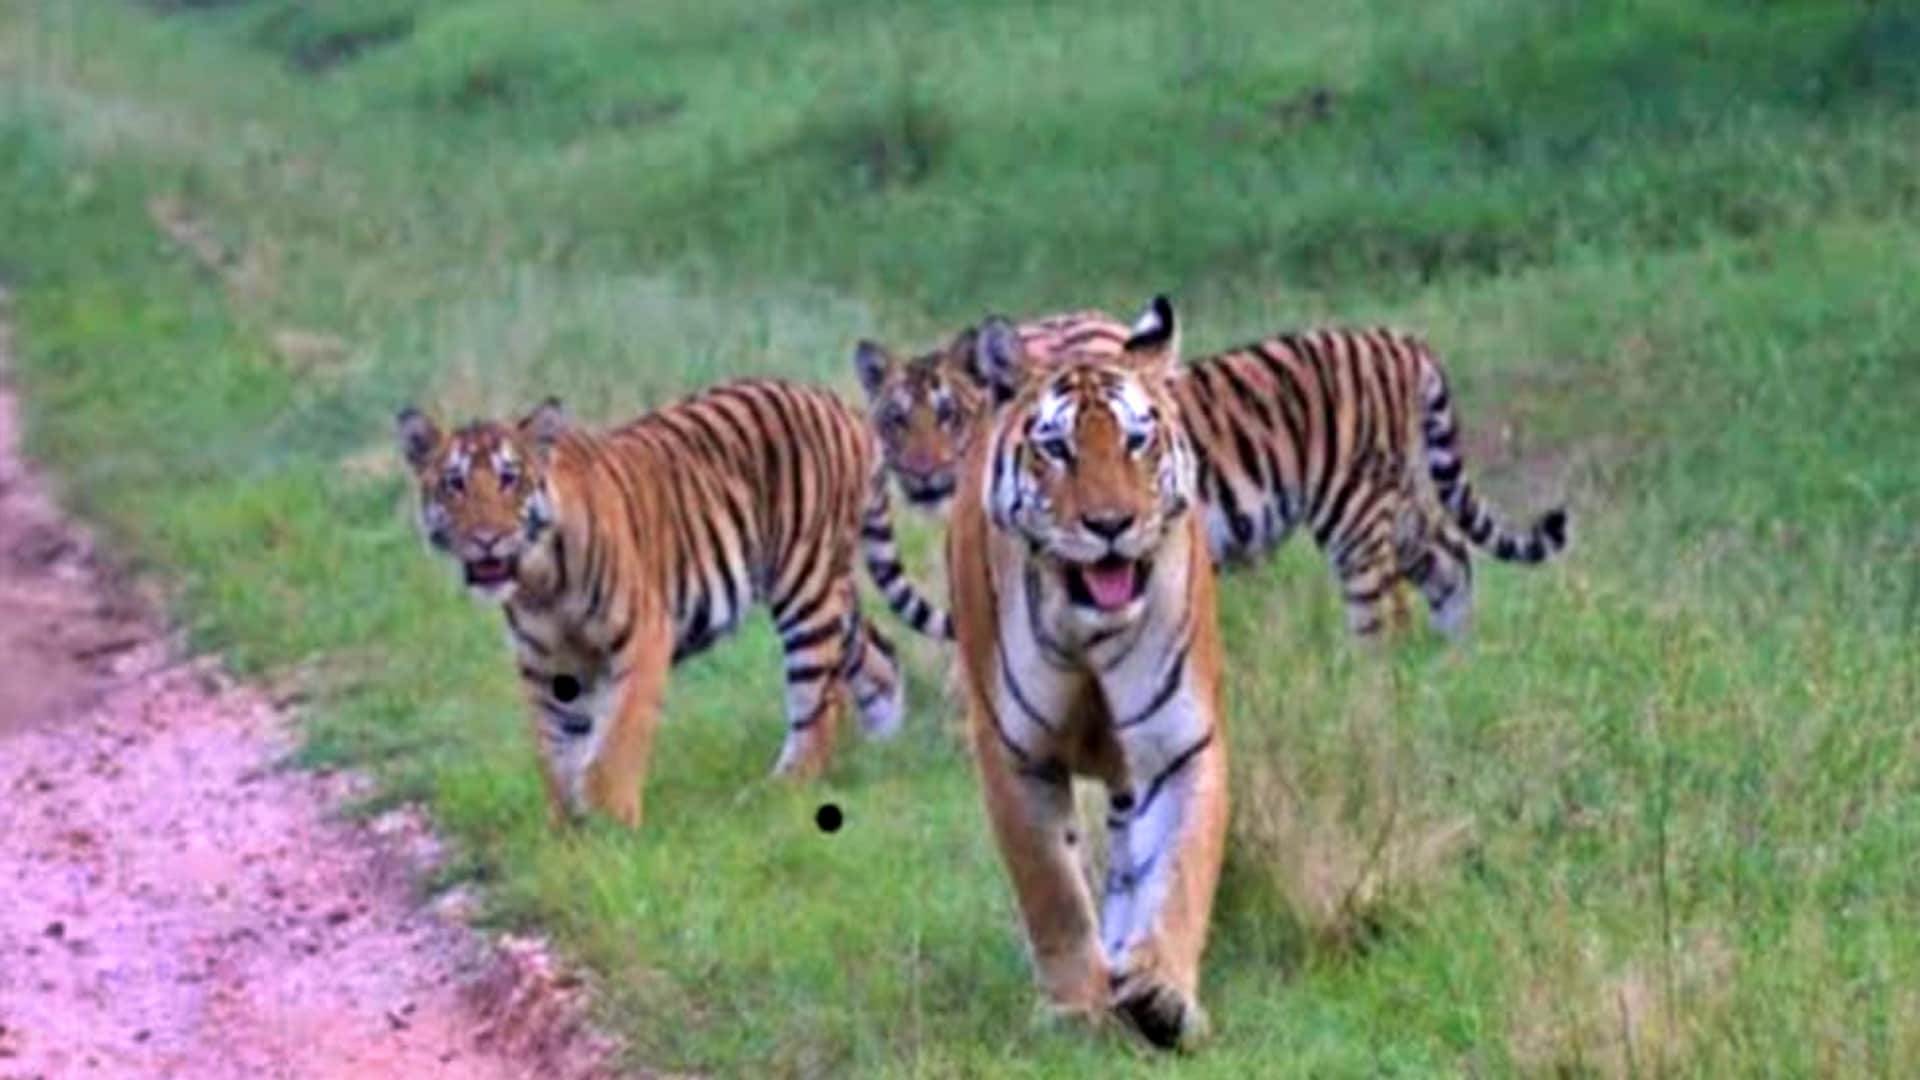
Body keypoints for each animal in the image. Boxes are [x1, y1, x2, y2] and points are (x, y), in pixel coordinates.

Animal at [393, 379, 951, 829]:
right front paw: (566, 833)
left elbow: (614, 746)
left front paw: (614, 827)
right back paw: (881, 744)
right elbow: (556, 754)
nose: (486, 539)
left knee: (817, 704)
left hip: (806, 588)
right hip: (831, 592)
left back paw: (778, 790)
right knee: (878, 652)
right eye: (455, 484)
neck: (539, 581)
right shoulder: (547, 665)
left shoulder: (642, 638)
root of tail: (842, 407)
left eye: (509, 479)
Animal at [857, 309, 1569, 638]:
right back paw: (1455, 661)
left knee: (1383, 610)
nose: (921, 473)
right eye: (896, 421)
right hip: (1396, 501)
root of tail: (1401, 340)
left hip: (1356, 511)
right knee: (1450, 557)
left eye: (947, 416)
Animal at [947, 295, 1227, 1051]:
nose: (1110, 524)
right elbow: (1052, 889)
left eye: (1136, 441)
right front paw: (1077, 1006)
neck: (1088, 629)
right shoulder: (1013, 752)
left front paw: (1162, 994)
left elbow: (1177, 872)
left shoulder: (1177, 744)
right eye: (1057, 447)